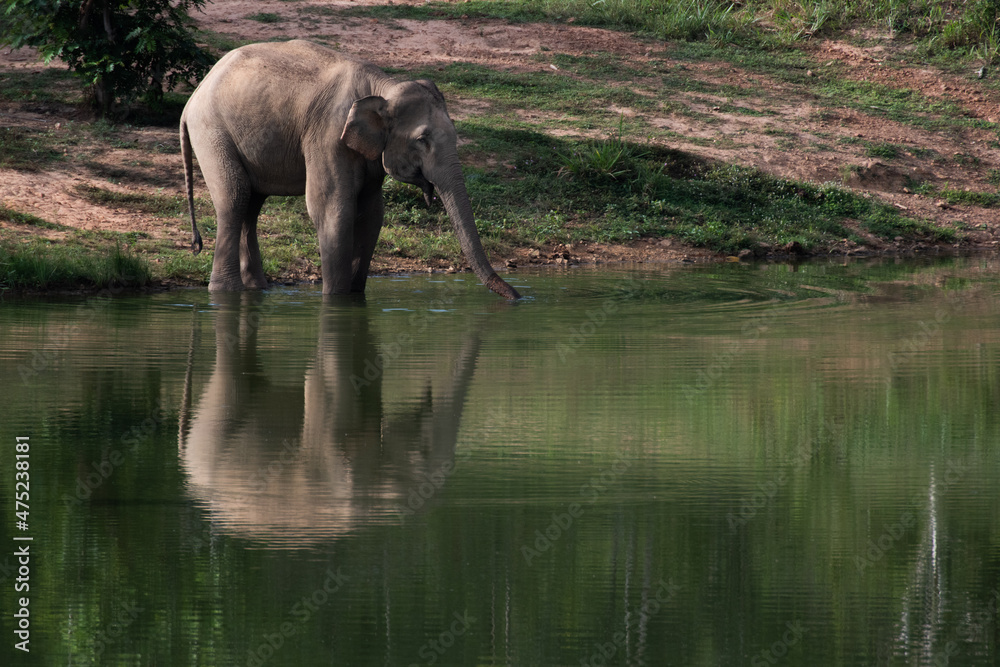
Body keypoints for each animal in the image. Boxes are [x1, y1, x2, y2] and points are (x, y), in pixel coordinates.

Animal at [180, 39, 520, 300]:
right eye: (422, 140)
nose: (518, 296)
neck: (383, 88)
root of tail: (192, 98)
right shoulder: (328, 134)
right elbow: (333, 208)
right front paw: (336, 300)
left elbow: (371, 213)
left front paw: (355, 297)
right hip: (212, 132)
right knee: (235, 198)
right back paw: (225, 292)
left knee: (252, 205)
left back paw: (257, 290)